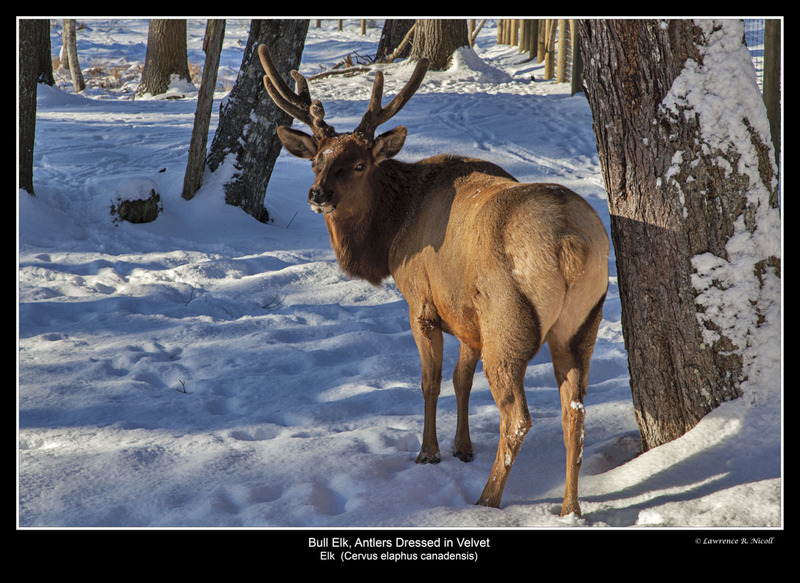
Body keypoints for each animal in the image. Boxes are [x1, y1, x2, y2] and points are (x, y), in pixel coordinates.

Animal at [258, 44, 609, 517]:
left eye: (359, 164)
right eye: (317, 161)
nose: (318, 194)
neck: (391, 235)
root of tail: (572, 245)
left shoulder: (422, 302)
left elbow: (430, 381)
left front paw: (429, 452)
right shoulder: (464, 314)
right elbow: (461, 379)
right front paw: (462, 447)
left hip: (508, 320)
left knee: (517, 417)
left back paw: (487, 499)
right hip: (583, 321)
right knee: (575, 410)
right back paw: (570, 508)